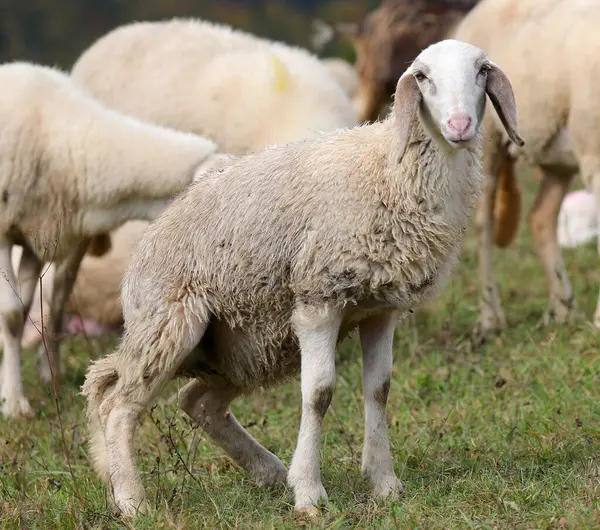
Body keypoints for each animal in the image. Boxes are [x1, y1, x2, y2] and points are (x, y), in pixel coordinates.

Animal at [0, 62, 223, 416]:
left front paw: (49, 374)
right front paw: (14, 402)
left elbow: (39, 307)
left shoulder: (42, 235)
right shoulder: (5, 230)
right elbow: (10, 315)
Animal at [82, 40, 524, 516]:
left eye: (482, 71)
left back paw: (267, 471)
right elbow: (319, 394)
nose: (460, 125)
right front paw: (310, 493)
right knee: (116, 403)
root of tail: (147, 242)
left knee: (193, 401)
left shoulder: (380, 309)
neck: (388, 168)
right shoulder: (319, 300)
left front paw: (383, 482)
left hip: (242, 349)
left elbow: (379, 390)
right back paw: (131, 498)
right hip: (172, 323)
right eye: (422, 77)